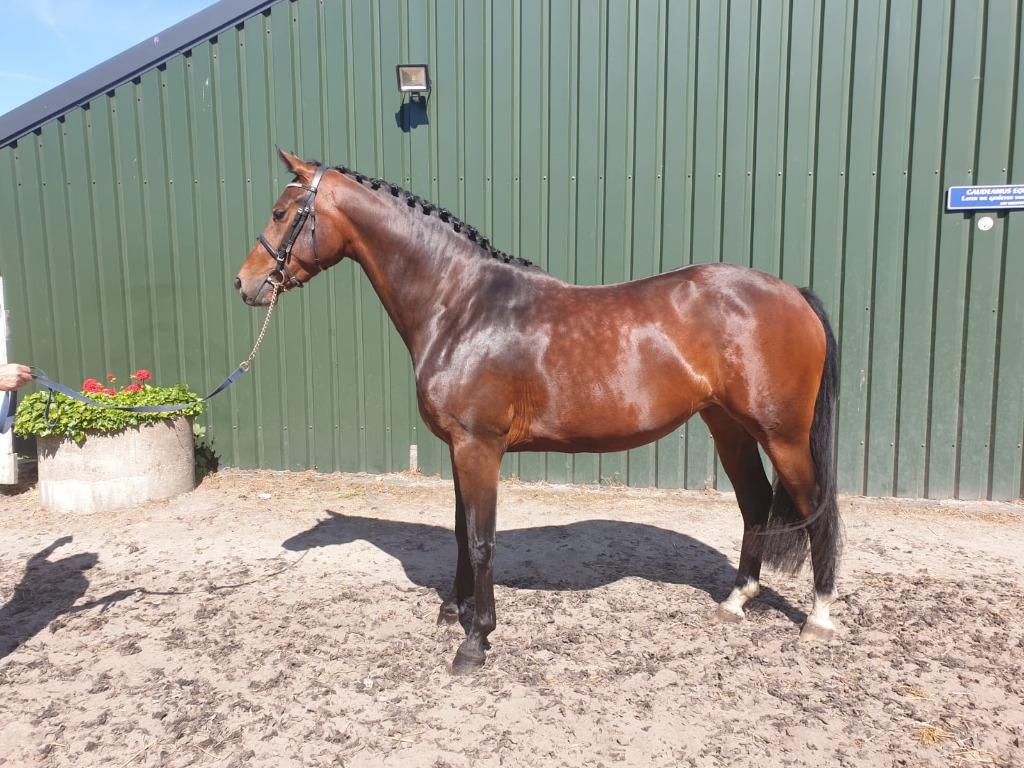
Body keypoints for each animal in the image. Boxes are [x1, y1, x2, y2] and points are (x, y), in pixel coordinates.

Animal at [235, 149, 842, 674]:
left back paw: (818, 618)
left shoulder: (479, 447)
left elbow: (482, 540)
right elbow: (461, 531)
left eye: (281, 212)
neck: (461, 306)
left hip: (783, 435)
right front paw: (453, 612)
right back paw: (737, 600)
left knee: (816, 508)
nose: (245, 284)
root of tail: (793, 293)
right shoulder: (459, 448)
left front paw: (475, 641)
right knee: (755, 504)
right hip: (729, 428)